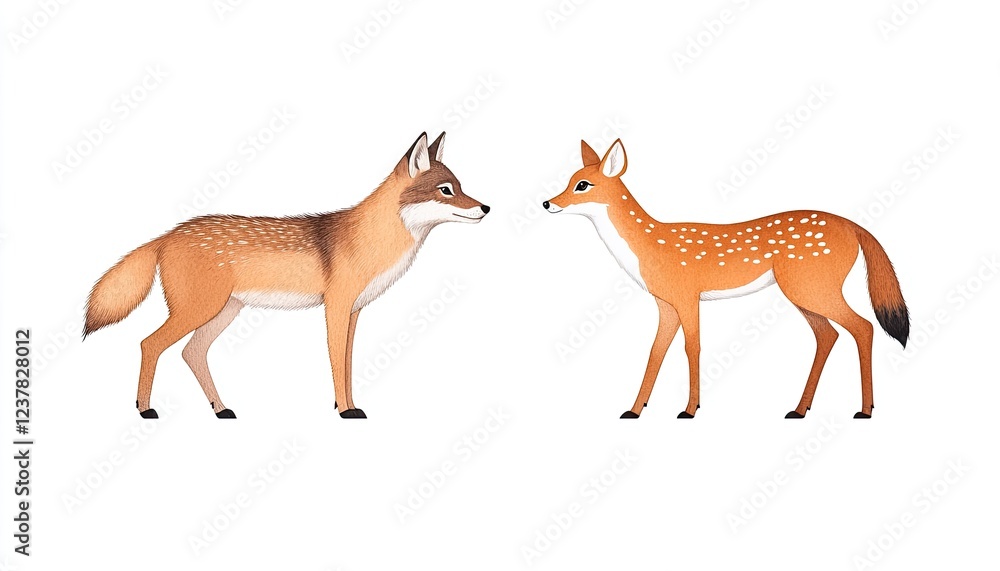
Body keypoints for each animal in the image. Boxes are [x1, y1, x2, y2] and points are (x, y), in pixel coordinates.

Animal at [84, 132, 489, 419]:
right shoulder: (335, 307)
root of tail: (168, 233)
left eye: (460, 187)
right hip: (199, 309)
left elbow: (348, 363)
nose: (486, 207)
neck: (369, 239)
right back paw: (145, 409)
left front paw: (347, 404)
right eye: (446, 190)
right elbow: (336, 362)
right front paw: (345, 410)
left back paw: (221, 409)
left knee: (191, 352)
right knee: (149, 344)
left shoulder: (354, 312)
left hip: (223, 312)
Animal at [543, 139, 909, 419]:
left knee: (863, 327)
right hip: (804, 292)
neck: (650, 246)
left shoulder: (687, 295)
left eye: (583, 185)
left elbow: (692, 347)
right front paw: (634, 410)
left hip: (811, 287)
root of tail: (855, 227)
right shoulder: (665, 304)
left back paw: (864, 410)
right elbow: (655, 352)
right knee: (828, 335)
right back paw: (799, 409)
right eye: (570, 179)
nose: (548, 203)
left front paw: (689, 409)